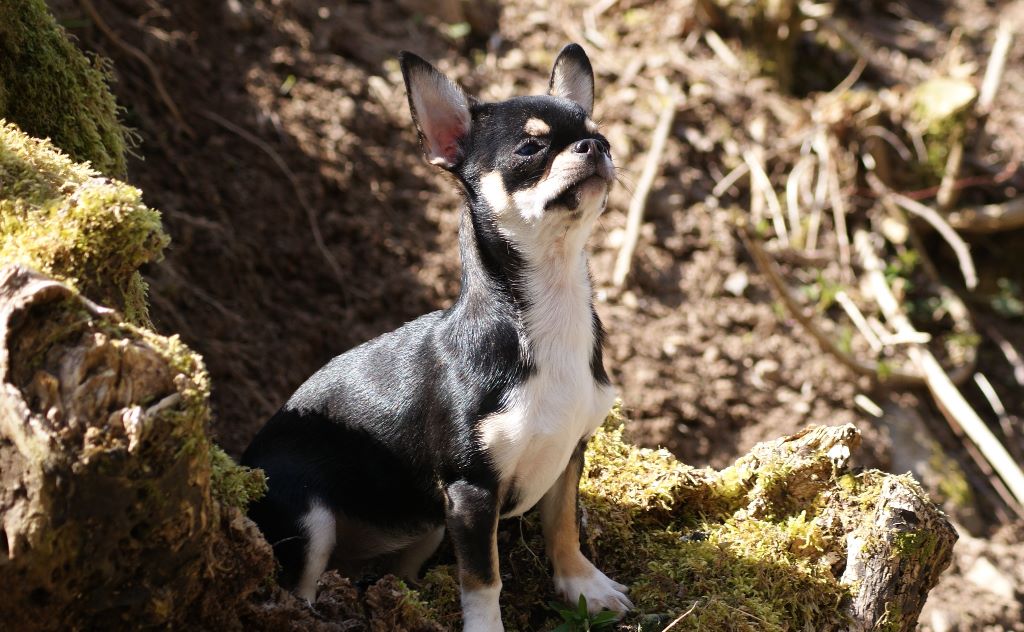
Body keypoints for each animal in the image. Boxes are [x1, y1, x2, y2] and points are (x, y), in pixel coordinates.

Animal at [243, 44, 634, 630]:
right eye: (530, 148)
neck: (550, 302)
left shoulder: (568, 456)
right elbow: (482, 578)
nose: (596, 147)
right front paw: (487, 627)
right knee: (301, 584)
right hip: (309, 520)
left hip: (424, 531)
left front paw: (582, 584)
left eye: (601, 135)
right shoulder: (471, 493)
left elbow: (562, 525)